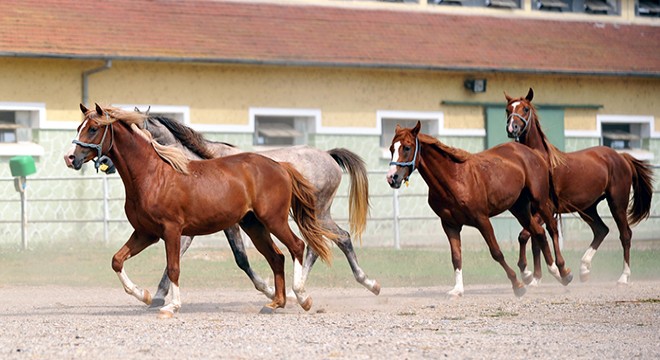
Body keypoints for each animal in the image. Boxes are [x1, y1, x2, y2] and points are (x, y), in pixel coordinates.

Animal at [69, 104, 336, 318]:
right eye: (79, 127)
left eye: (93, 128)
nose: (71, 158)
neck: (152, 175)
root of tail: (280, 166)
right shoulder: (146, 233)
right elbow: (117, 260)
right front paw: (144, 295)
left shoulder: (172, 230)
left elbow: (173, 267)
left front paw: (171, 306)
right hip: (253, 225)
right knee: (277, 257)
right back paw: (274, 303)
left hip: (274, 220)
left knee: (297, 247)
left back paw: (301, 297)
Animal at [386, 121, 572, 296]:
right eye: (391, 148)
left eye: (407, 147)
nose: (392, 177)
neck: (455, 179)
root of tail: (534, 153)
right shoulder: (450, 225)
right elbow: (456, 257)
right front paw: (458, 290)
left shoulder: (482, 219)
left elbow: (496, 252)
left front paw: (517, 285)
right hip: (520, 208)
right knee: (538, 232)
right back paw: (547, 272)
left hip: (540, 201)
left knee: (552, 229)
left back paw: (562, 271)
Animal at [506, 88, 656, 284]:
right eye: (508, 110)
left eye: (525, 109)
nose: (512, 128)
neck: (540, 161)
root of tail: (621, 156)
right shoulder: (533, 211)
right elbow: (534, 241)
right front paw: (536, 278)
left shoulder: (547, 210)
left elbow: (525, 236)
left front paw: (528, 273)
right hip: (587, 208)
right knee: (601, 230)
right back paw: (584, 269)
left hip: (617, 204)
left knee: (625, 235)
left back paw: (623, 276)